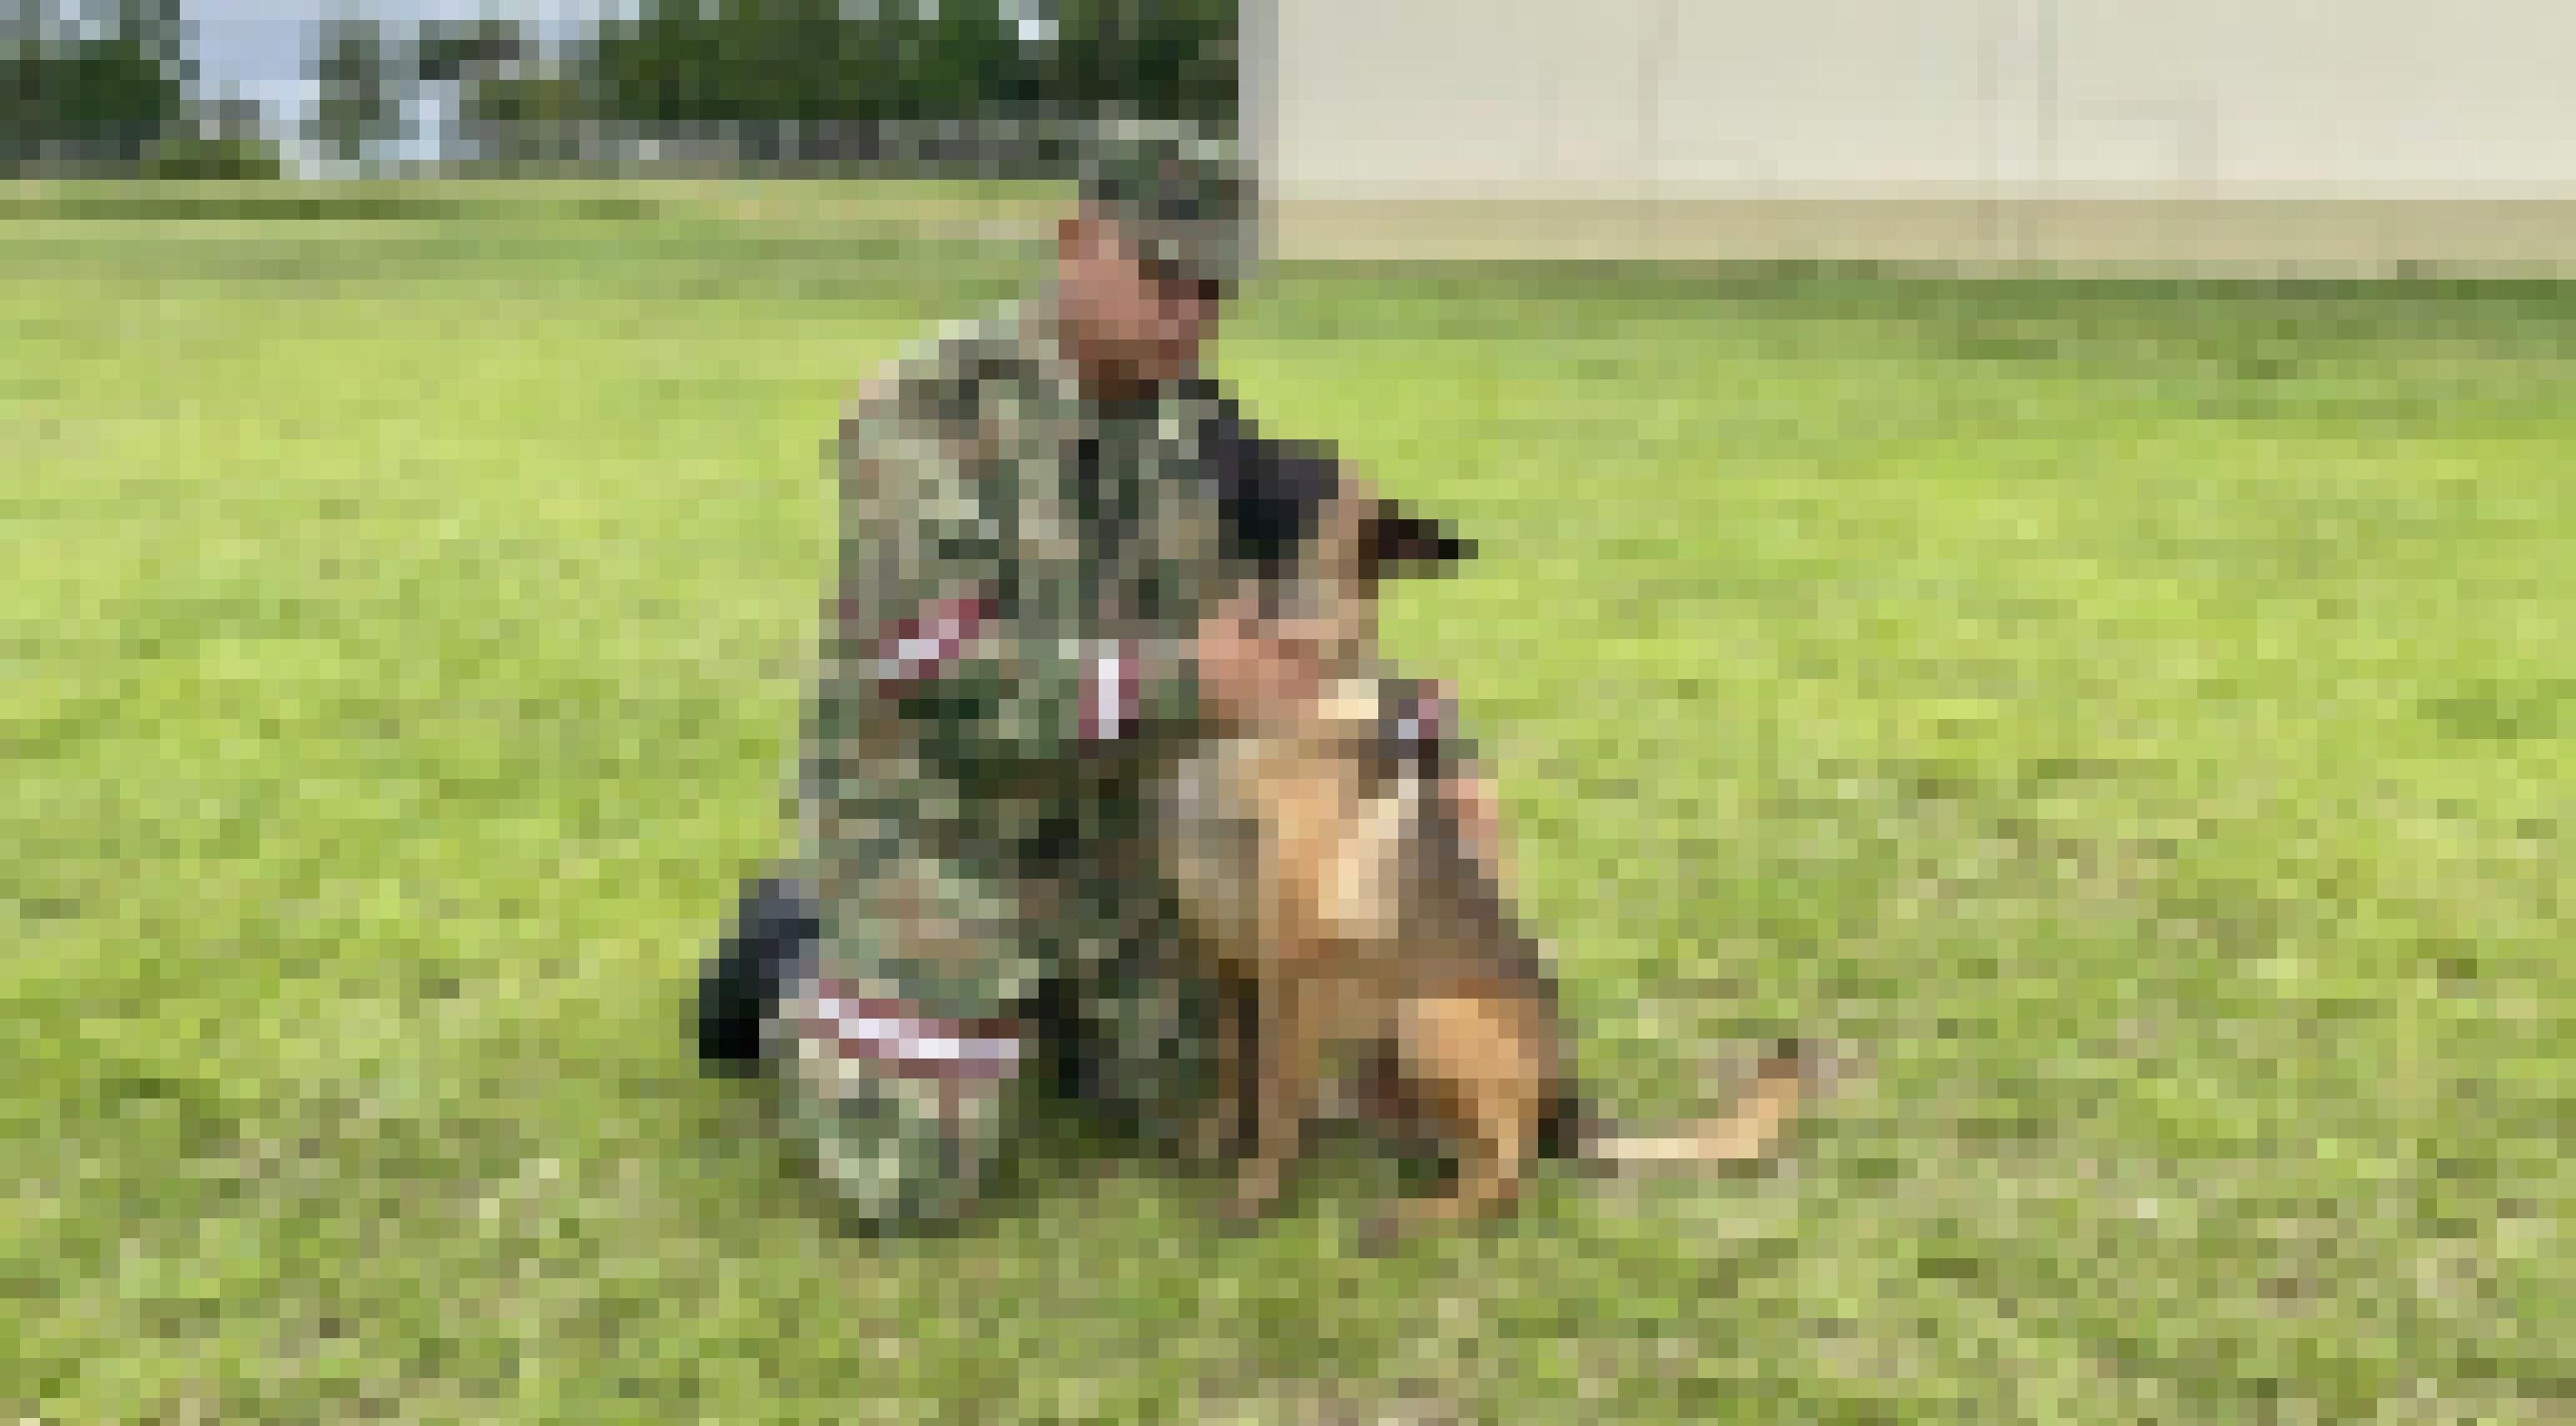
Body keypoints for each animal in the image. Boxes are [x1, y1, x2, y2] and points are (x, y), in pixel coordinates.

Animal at [1159, 437, 1803, 1235]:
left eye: (1299, 464)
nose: (1203, 430)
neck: (1283, 697)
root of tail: (1570, 1106)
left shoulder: (1289, 967)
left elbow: (1275, 1094)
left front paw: (1255, 1191)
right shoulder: (1227, 958)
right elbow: (1233, 1067)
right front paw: (1215, 1140)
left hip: (1424, 1017)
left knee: (1507, 1164)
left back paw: (1419, 1213)